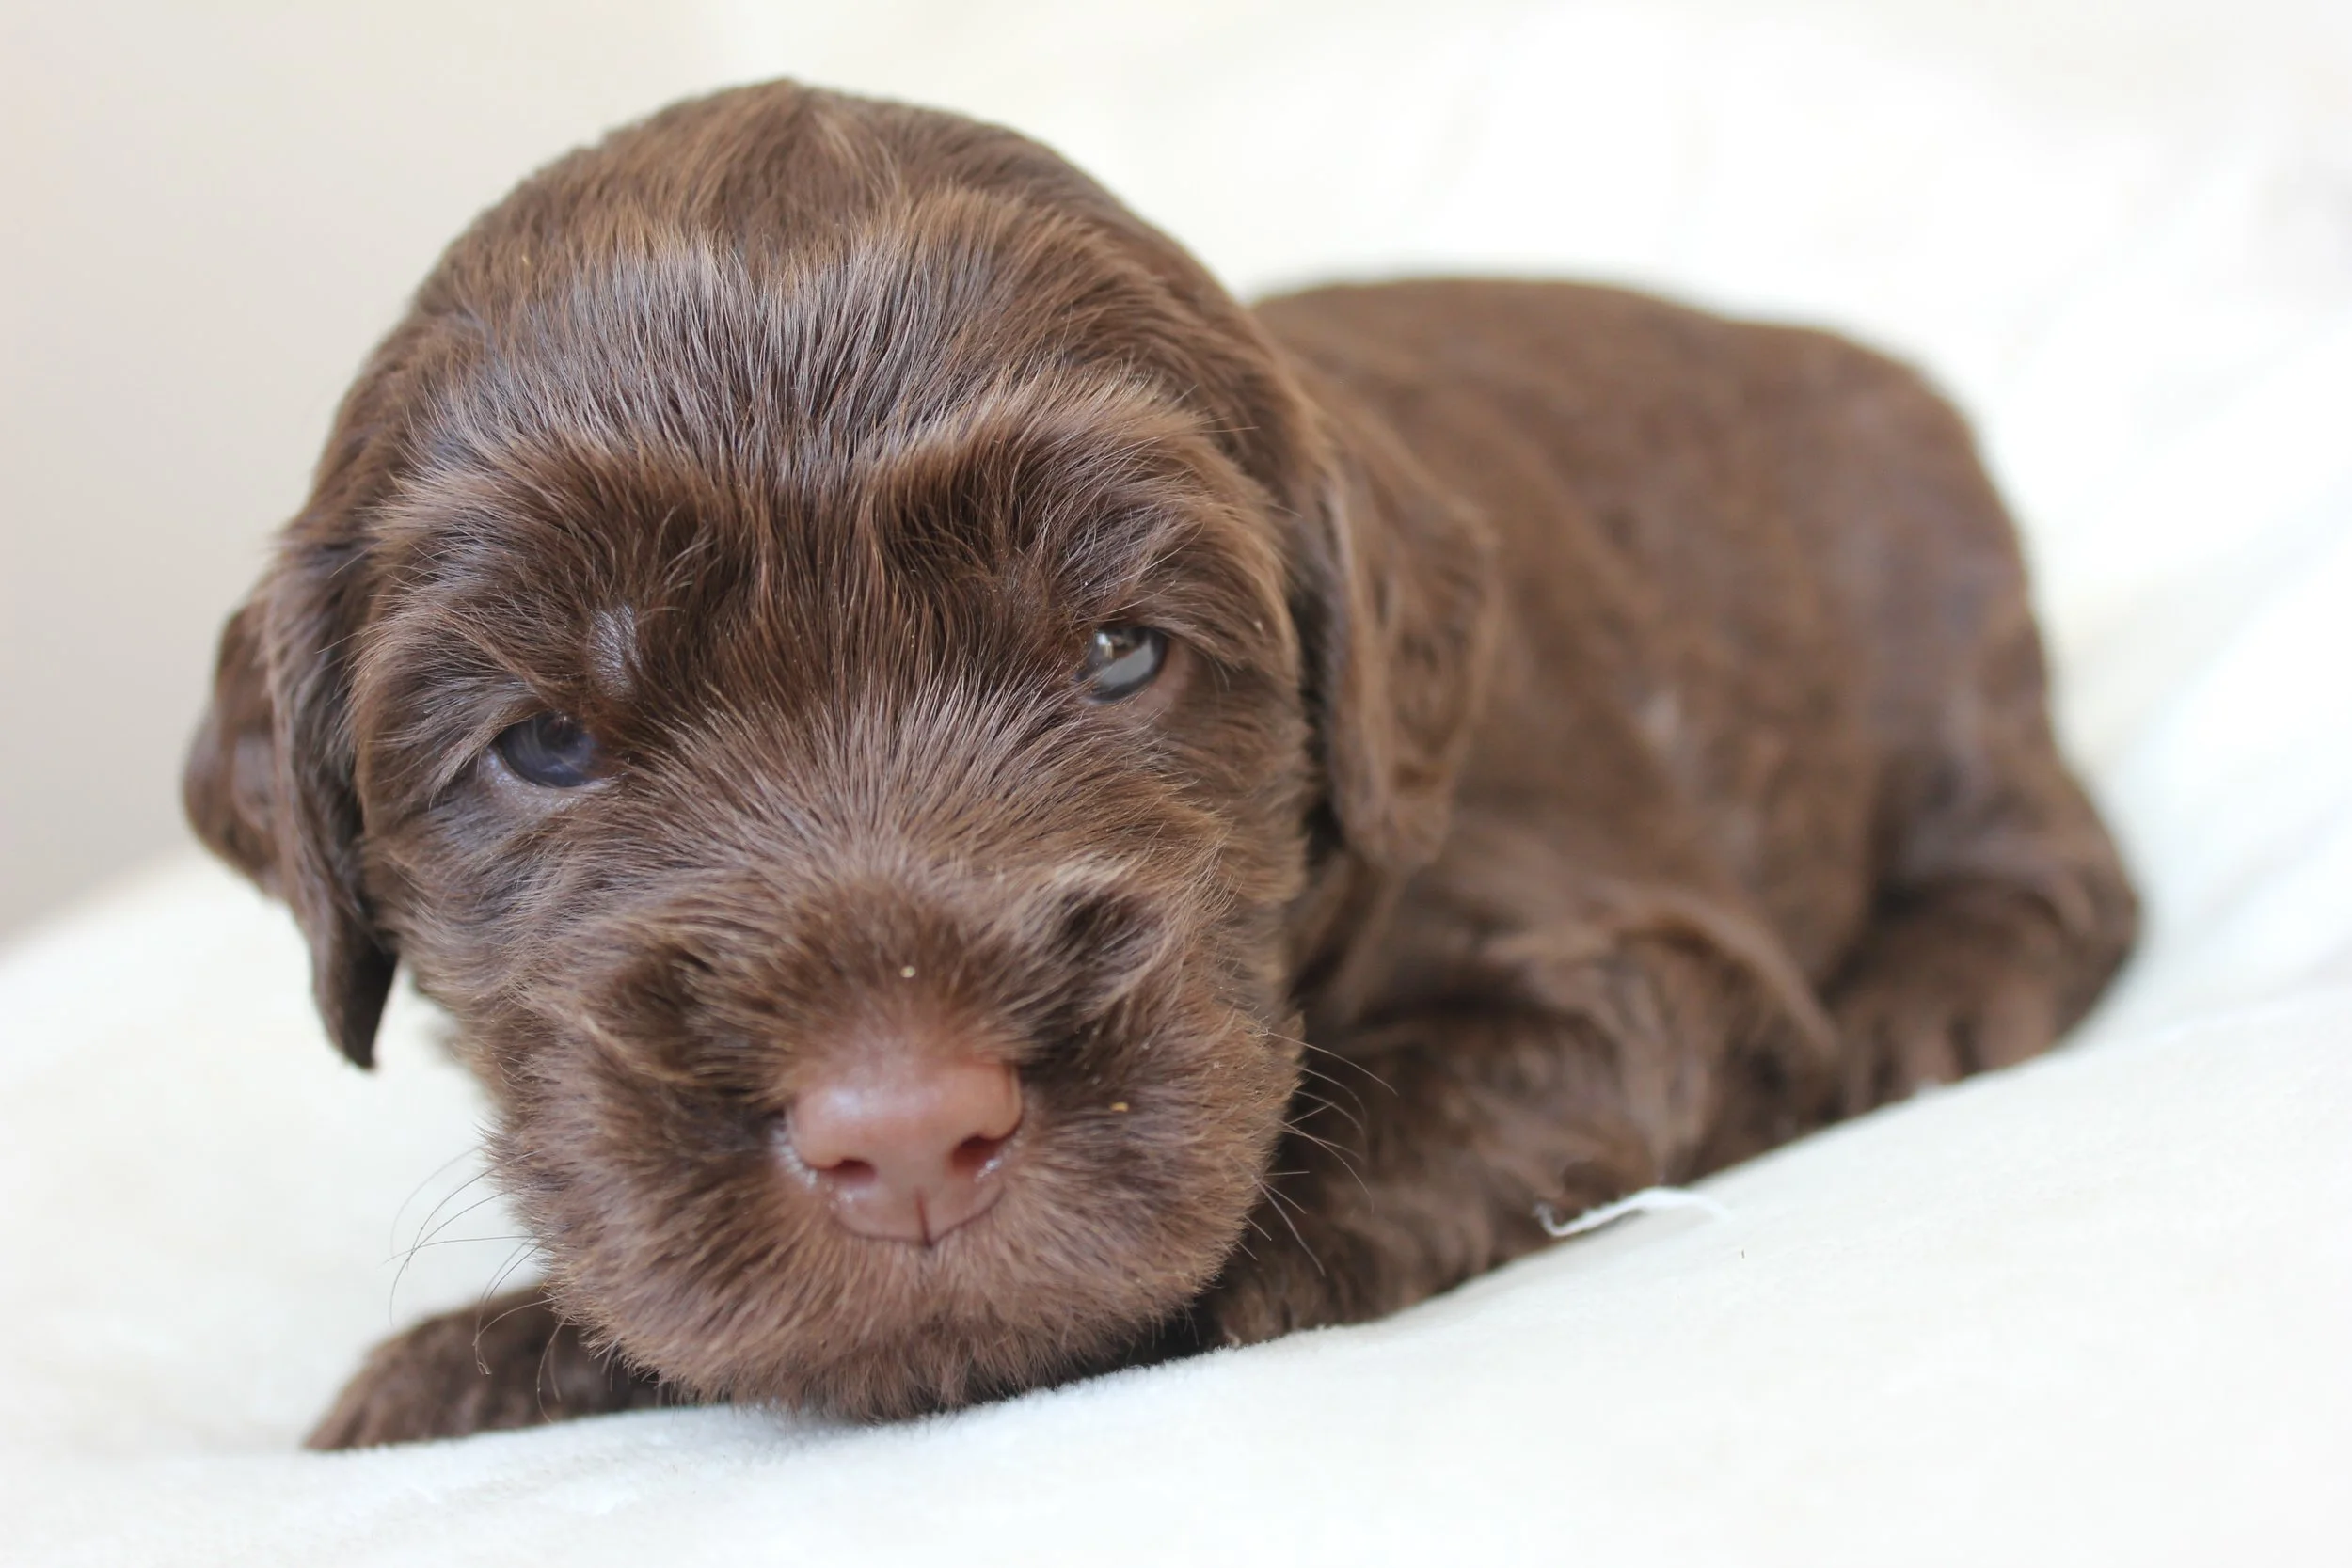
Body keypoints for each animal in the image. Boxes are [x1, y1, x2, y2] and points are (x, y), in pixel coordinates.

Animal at [182, 81, 2137, 1446]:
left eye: (1121, 651)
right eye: (544, 743)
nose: (906, 1132)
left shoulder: (1633, 948)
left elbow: (1434, 1099)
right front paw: (482, 1356)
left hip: (1944, 621)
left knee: (2055, 855)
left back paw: (1935, 998)